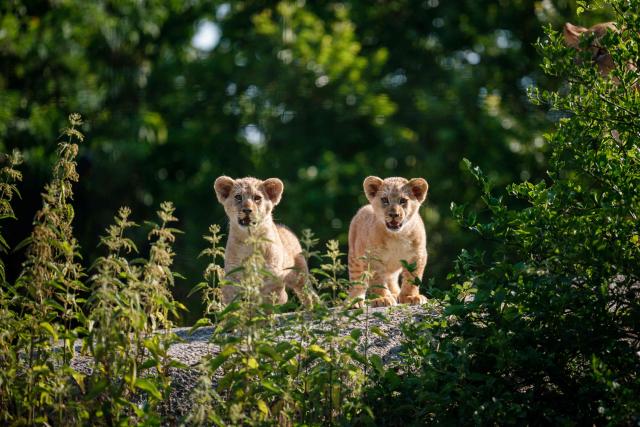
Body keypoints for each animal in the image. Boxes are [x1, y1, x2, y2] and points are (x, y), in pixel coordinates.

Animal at [214, 176, 316, 307]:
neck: (250, 239)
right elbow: (232, 299)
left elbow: (270, 300)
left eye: (257, 198)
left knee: (308, 294)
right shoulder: (233, 272)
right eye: (238, 197)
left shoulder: (272, 273)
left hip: (300, 276)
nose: (247, 210)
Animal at [348, 176, 429, 307]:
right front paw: (383, 299)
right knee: (357, 281)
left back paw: (396, 295)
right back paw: (355, 301)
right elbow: (378, 280)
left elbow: (412, 278)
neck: (396, 236)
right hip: (355, 258)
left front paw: (410, 296)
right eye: (385, 200)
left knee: (391, 279)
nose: (394, 214)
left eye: (403, 200)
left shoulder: (417, 255)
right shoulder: (373, 257)